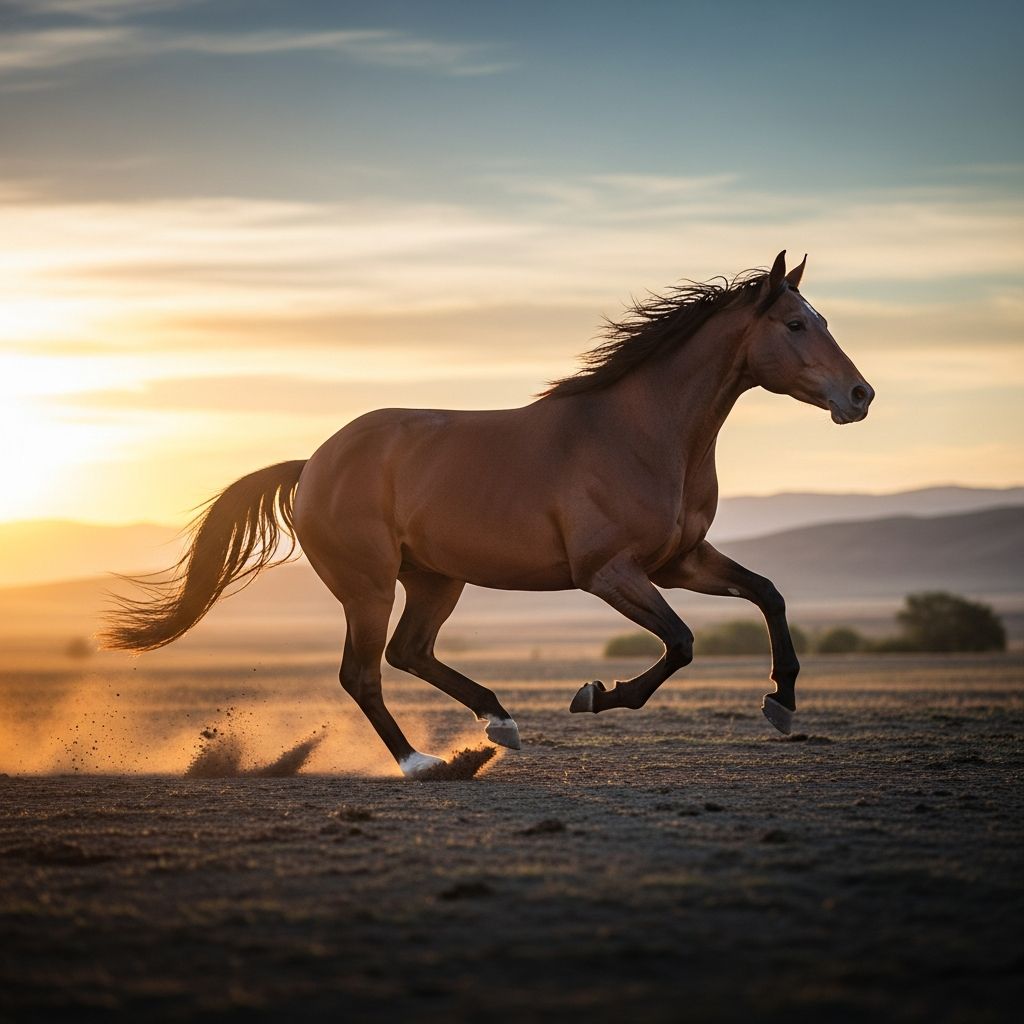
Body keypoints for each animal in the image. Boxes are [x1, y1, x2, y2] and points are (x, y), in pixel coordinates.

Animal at [104, 250, 874, 777]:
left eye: (823, 319)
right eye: (797, 323)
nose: (860, 396)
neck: (640, 433)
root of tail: (313, 465)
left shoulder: (679, 562)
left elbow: (768, 595)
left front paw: (781, 704)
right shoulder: (609, 572)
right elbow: (682, 643)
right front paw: (594, 695)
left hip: (436, 579)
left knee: (408, 652)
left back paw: (498, 723)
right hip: (368, 585)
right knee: (364, 673)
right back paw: (423, 764)